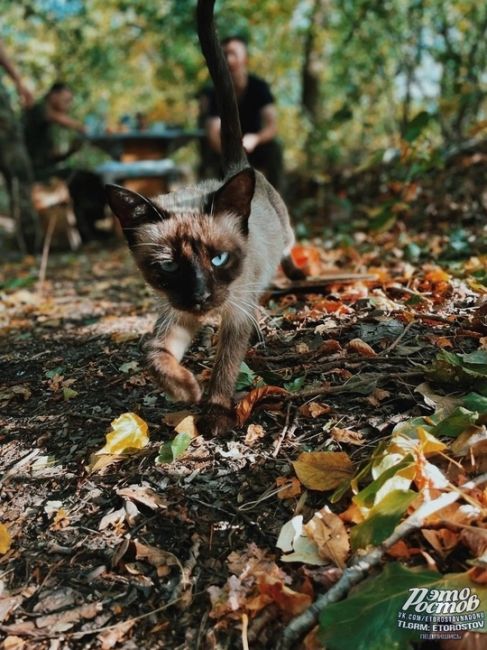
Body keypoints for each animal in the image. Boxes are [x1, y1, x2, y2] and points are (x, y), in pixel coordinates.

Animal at [107, 1, 304, 436]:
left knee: (289, 248)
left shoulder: (235, 313)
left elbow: (225, 368)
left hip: (281, 239)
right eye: (168, 266)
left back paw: (297, 275)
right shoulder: (177, 313)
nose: (199, 295)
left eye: (218, 259)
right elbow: (154, 353)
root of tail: (238, 166)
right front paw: (185, 390)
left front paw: (213, 412)